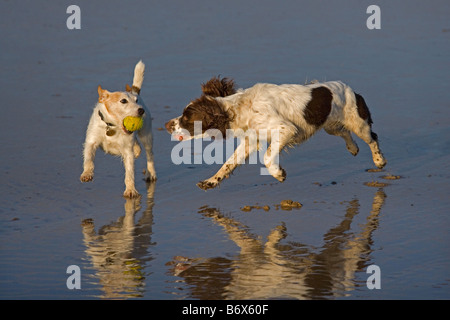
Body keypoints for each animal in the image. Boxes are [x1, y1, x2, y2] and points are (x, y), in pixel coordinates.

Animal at [80, 60, 156, 198]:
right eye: (123, 101)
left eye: (136, 101)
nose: (141, 110)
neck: (112, 126)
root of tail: (134, 91)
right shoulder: (91, 141)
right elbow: (88, 159)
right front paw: (87, 173)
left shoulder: (127, 152)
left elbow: (129, 173)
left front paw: (131, 190)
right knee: (138, 147)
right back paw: (137, 150)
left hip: (146, 136)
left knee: (149, 155)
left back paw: (150, 173)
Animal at [165, 77, 386, 190]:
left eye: (186, 118)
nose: (167, 125)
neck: (239, 108)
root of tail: (352, 90)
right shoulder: (250, 140)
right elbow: (228, 163)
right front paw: (211, 181)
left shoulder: (285, 129)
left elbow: (267, 156)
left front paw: (279, 174)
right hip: (330, 125)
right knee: (345, 133)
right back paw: (353, 148)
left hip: (358, 123)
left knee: (372, 138)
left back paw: (379, 161)